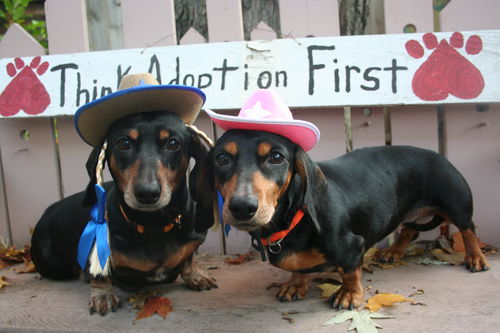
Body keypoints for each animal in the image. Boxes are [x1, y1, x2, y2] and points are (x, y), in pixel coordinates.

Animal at [31, 72, 217, 314]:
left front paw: (195, 275)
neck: (153, 225)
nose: (147, 193)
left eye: (173, 143)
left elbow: (187, 260)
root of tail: (47, 211)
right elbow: (99, 274)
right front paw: (102, 295)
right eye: (123, 143)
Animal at [197, 87, 490, 308]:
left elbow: (350, 272)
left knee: (468, 230)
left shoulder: (353, 246)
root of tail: (438, 155)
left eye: (277, 157)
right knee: (410, 230)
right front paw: (294, 284)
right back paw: (393, 252)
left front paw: (349, 294)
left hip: (457, 203)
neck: (294, 219)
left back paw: (475, 258)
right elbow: (299, 269)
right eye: (221, 158)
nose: (242, 207)